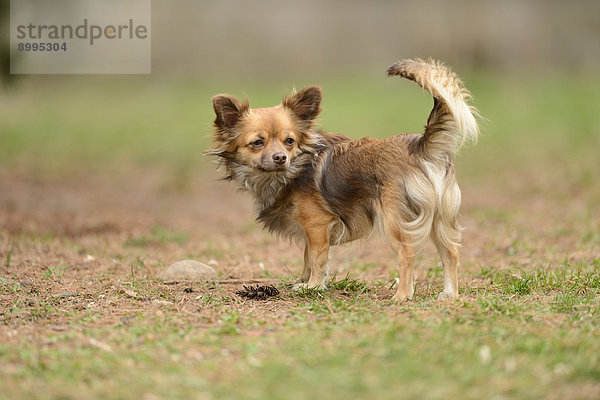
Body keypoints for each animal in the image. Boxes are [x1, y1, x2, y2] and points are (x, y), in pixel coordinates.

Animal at [209, 59, 480, 302]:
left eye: (289, 141)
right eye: (257, 142)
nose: (280, 157)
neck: (292, 171)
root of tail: (420, 145)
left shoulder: (317, 225)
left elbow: (317, 257)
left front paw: (313, 286)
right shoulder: (310, 230)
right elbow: (308, 256)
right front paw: (303, 280)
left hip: (396, 221)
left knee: (407, 253)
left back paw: (402, 295)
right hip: (439, 218)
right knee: (450, 253)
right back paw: (450, 294)